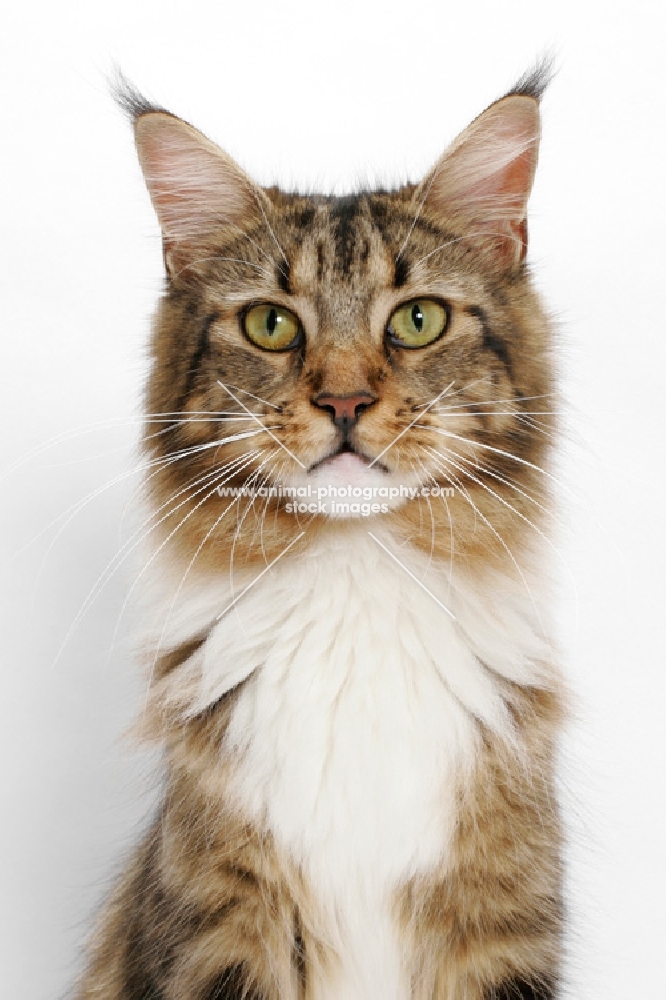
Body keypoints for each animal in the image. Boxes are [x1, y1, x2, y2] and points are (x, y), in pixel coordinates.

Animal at [79, 70, 564, 1000]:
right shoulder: (219, 919)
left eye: (417, 320)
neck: (355, 584)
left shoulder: (503, 914)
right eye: (271, 325)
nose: (343, 402)